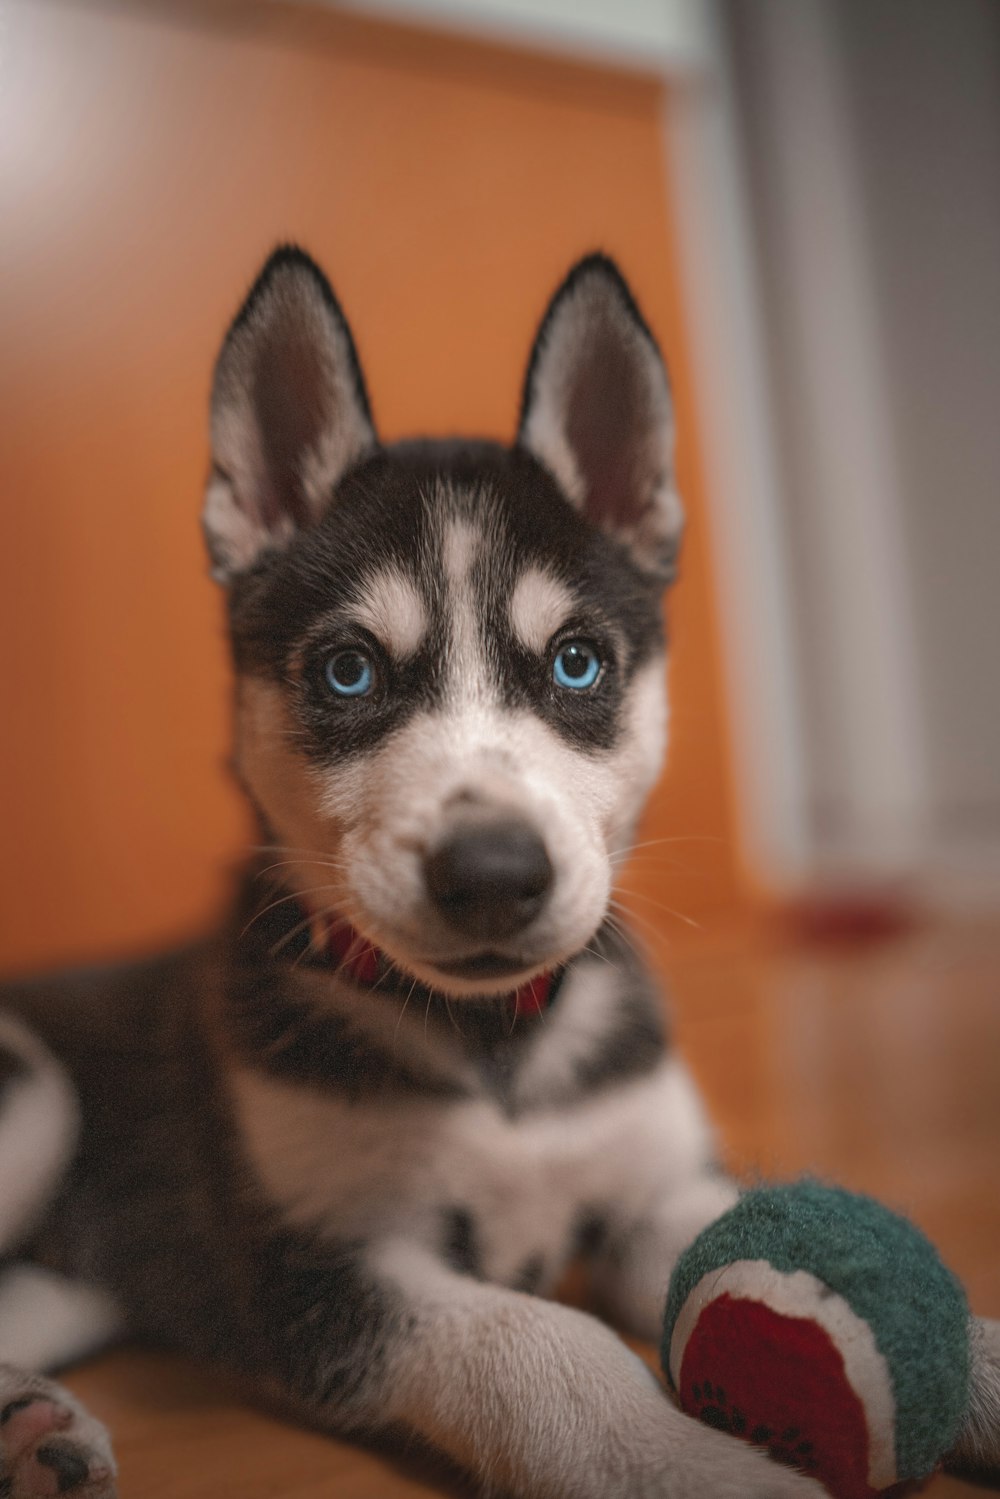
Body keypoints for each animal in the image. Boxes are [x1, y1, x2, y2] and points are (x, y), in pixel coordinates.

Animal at [0, 251, 995, 1493]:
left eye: (576, 662)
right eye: (346, 671)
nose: (490, 874)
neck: (496, 1050)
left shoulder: (655, 1183)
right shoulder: (320, 1266)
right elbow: (535, 1340)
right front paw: (692, 1463)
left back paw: (32, 1426)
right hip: (37, 1091)